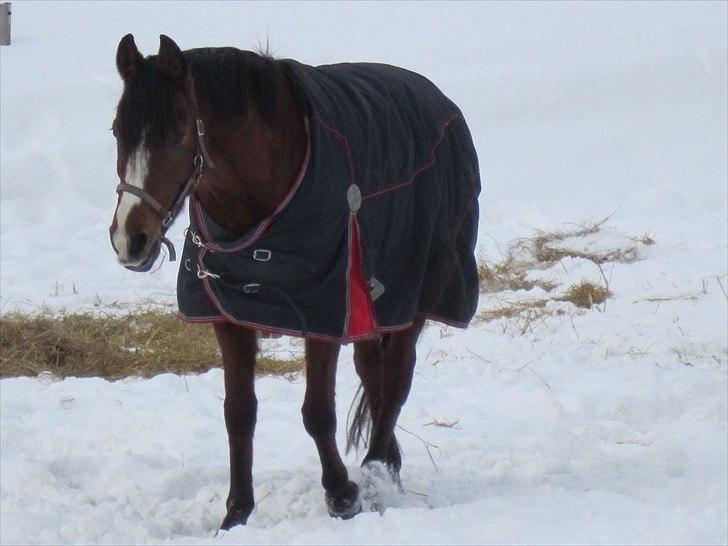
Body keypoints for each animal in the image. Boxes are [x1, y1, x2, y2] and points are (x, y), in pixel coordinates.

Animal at [108, 34, 480, 528]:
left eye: (178, 134)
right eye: (118, 131)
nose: (130, 238)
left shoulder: (322, 313)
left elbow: (317, 412)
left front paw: (342, 495)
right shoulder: (228, 316)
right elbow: (238, 413)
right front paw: (236, 512)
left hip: (417, 294)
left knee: (396, 379)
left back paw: (377, 472)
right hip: (374, 307)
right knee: (375, 376)